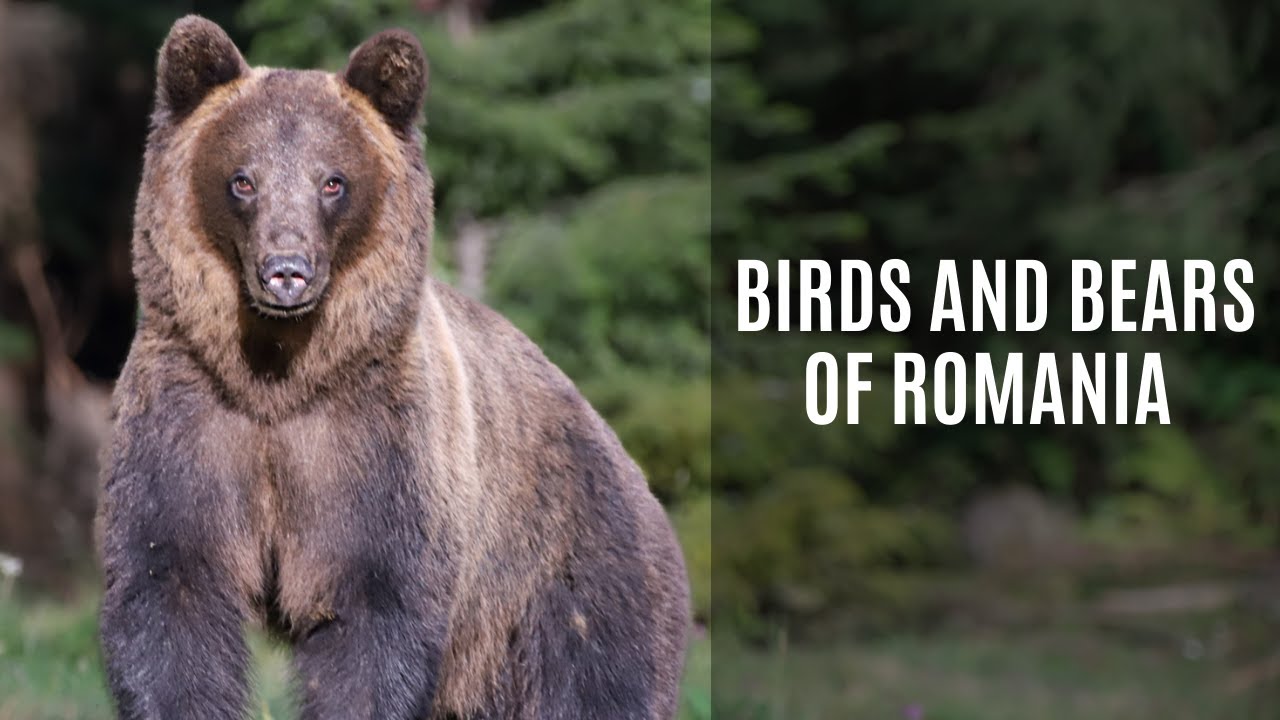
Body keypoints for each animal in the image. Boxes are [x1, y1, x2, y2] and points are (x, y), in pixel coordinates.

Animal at [95, 16, 690, 720]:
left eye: (333, 181)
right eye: (243, 179)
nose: (287, 270)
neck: (277, 373)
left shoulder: (378, 441)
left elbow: (372, 613)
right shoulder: (192, 415)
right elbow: (170, 592)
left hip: (567, 575)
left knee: (595, 680)